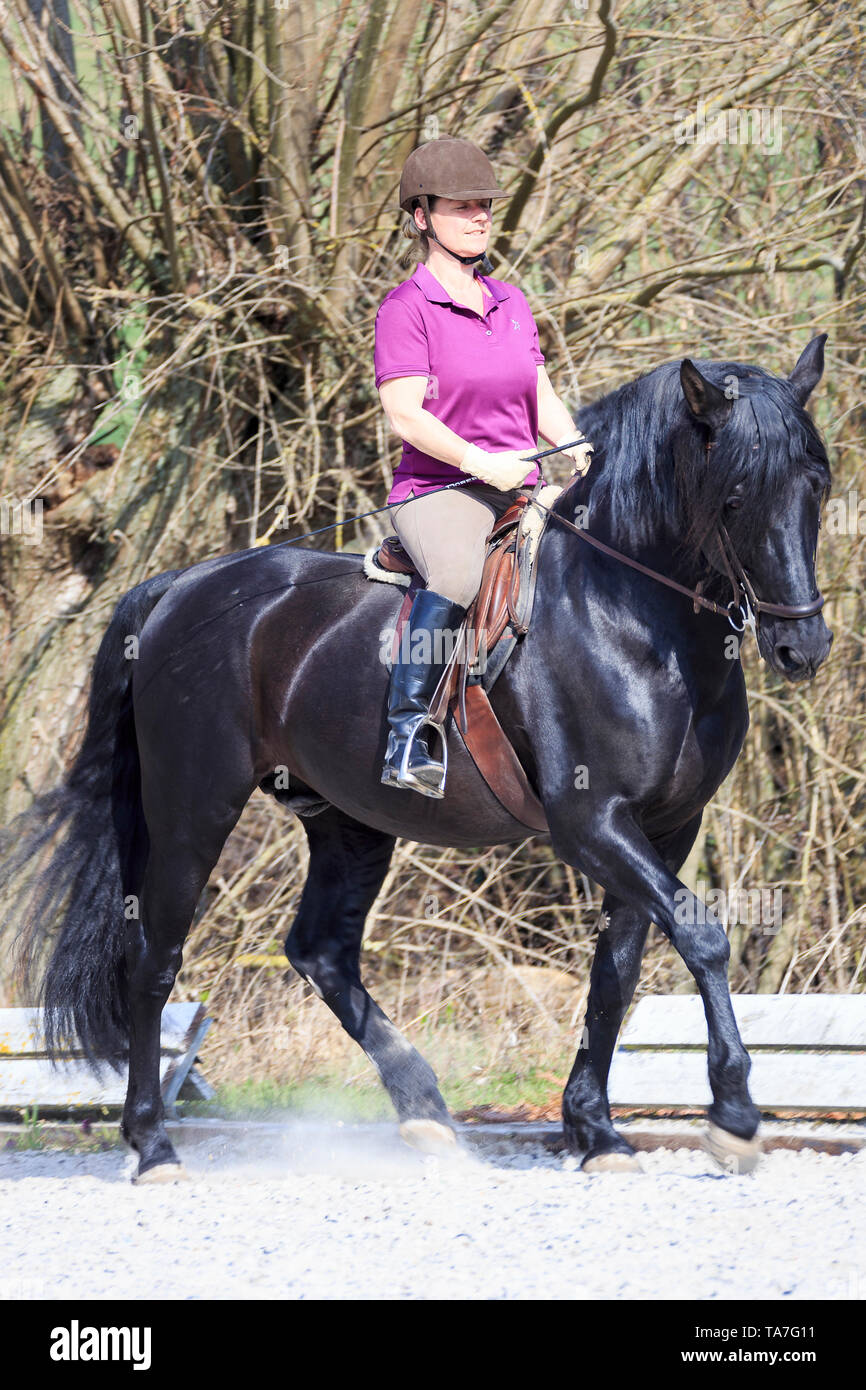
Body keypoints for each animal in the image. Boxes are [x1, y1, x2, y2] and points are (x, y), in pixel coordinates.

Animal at [6, 330, 834, 1178]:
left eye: (817, 485)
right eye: (734, 498)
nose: (802, 648)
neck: (632, 615)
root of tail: (180, 587)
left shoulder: (667, 827)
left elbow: (618, 972)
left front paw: (595, 1130)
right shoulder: (592, 823)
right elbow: (702, 935)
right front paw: (733, 1115)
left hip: (348, 819)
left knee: (320, 952)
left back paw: (425, 1110)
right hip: (192, 810)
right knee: (154, 960)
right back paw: (153, 1143)